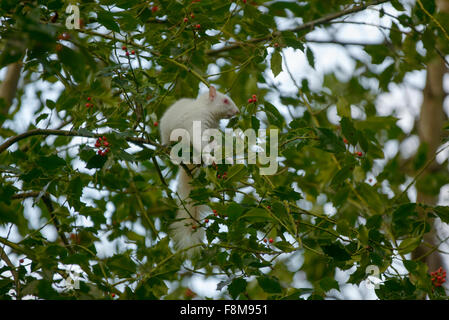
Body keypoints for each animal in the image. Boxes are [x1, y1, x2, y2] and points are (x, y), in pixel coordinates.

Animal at [159, 86, 240, 256]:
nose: (237, 111)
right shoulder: (196, 123)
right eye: (225, 100)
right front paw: (210, 157)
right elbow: (199, 141)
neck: (207, 110)